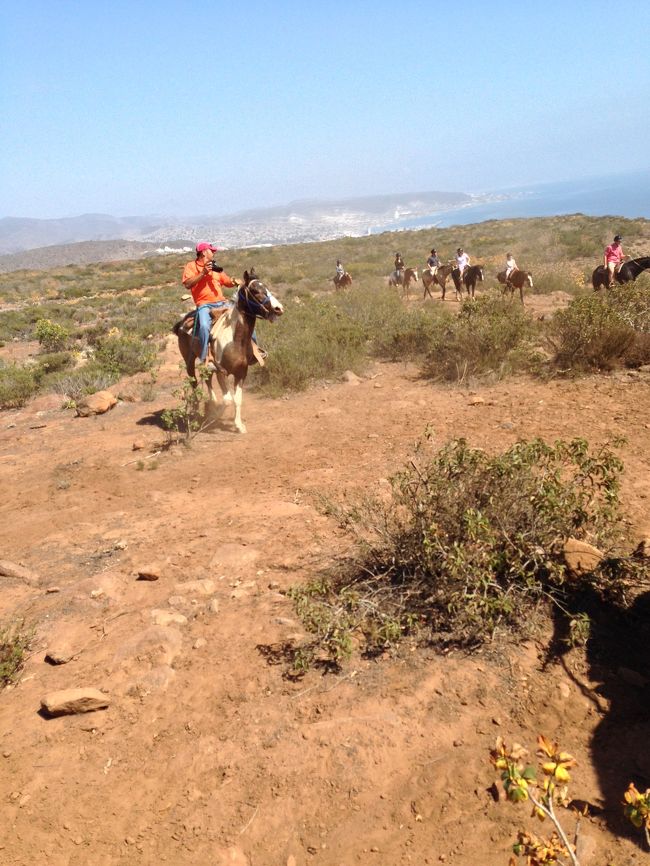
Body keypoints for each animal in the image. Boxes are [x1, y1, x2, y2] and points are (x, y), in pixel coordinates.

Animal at [173, 270, 282, 432]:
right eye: (255, 290)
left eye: (266, 287)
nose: (278, 308)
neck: (234, 340)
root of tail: (182, 322)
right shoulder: (221, 372)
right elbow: (228, 399)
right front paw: (214, 414)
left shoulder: (241, 373)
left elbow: (237, 399)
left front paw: (239, 425)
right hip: (189, 359)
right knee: (194, 382)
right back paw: (199, 409)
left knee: (207, 377)